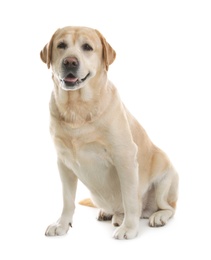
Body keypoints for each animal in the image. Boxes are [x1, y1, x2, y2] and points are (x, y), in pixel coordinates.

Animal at [40, 26, 178, 240]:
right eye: (61, 45)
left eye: (87, 47)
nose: (70, 61)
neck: (77, 108)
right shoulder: (63, 163)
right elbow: (67, 200)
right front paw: (61, 225)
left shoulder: (125, 157)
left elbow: (130, 199)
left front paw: (129, 229)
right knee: (118, 209)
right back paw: (111, 214)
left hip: (166, 175)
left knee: (166, 207)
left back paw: (156, 216)